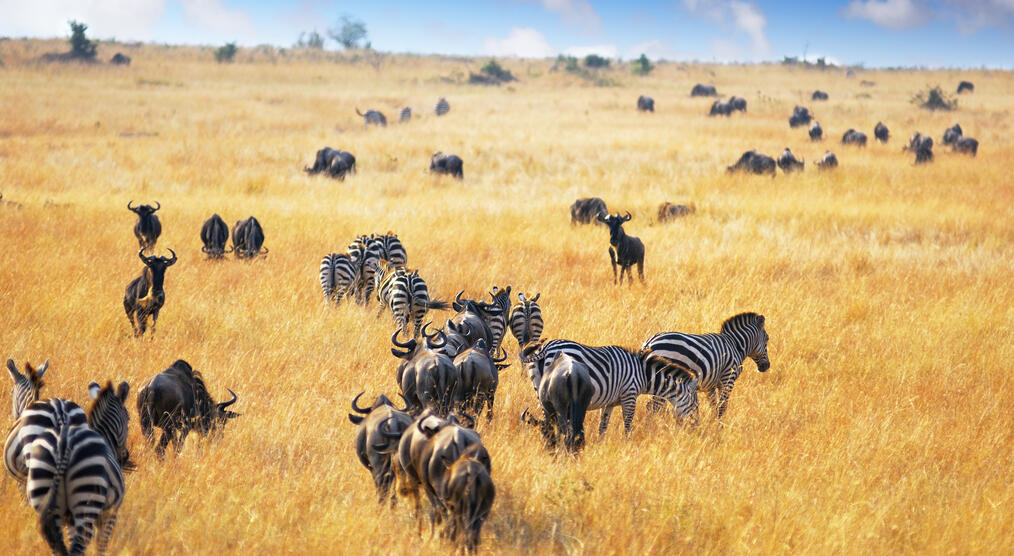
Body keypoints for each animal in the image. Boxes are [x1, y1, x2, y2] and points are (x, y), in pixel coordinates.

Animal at [27, 379, 130, 556]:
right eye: (128, 419)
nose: (125, 456)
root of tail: (63, 443)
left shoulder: (70, 521)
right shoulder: (110, 515)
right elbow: (101, 548)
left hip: (44, 493)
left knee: (59, 547)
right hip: (87, 501)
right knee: (77, 548)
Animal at [523, 338, 697, 434]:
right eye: (696, 405)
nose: (696, 427)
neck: (642, 373)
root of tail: (545, 348)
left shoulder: (609, 402)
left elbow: (603, 427)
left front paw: (600, 446)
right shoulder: (629, 395)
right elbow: (628, 424)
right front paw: (628, 446)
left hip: (540, 389)